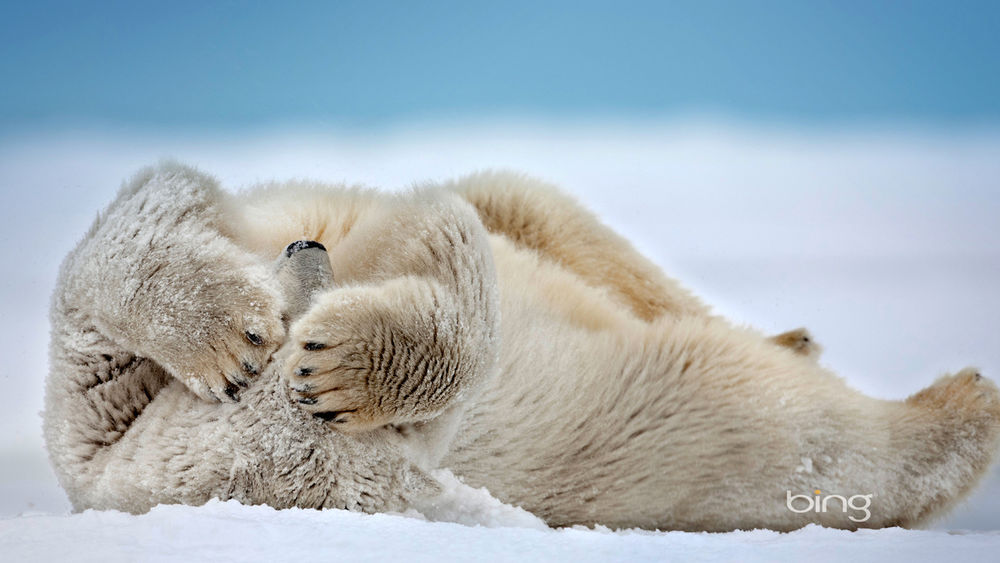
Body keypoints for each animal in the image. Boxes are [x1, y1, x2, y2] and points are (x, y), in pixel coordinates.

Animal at [45, 164, 1000, 532]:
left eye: (298, 314)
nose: (308, 250)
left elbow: (151, 213)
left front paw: (247, 337)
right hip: (663, 431)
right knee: (788, 427)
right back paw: (960, 402)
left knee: (552, 216)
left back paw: (797, 334)